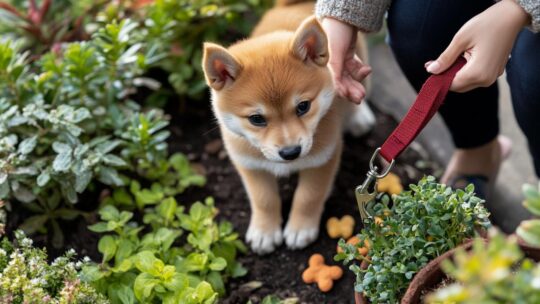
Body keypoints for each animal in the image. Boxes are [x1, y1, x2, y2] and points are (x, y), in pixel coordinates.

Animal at [202, 0, 376, 254]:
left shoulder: (322, 159)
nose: (291, 152)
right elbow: (264, 200)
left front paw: (300, 228)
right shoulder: (250, 165)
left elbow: (308, 197)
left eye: (303, 106)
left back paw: (359, 117)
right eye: (256, 119)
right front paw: (264, 232)